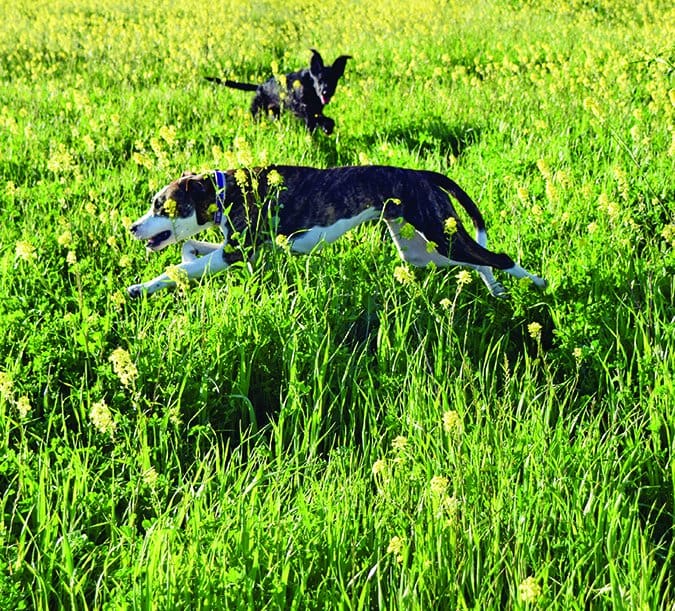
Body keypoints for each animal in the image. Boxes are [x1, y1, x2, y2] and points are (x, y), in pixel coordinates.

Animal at [128, 166, 548, 300]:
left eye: (160, 205)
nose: (131, 227)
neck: (220, 189)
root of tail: (420, 174)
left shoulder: (233, 251)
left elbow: (174, 271)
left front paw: (139, 288)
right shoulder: (239, 248)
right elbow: (191, 250)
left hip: (440, 233)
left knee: (498, 257)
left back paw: (538, 284)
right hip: (422, 247)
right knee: (477, 262)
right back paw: (498, 291)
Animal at [205, 50, 354, 134]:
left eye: (333, 81)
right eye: (320, 79)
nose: (325, 92)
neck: (310, 85)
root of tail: (260, 86)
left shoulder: (315, 111)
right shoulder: (304, 110)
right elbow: (319, 120)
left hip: (275, 113)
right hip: (257, 112)